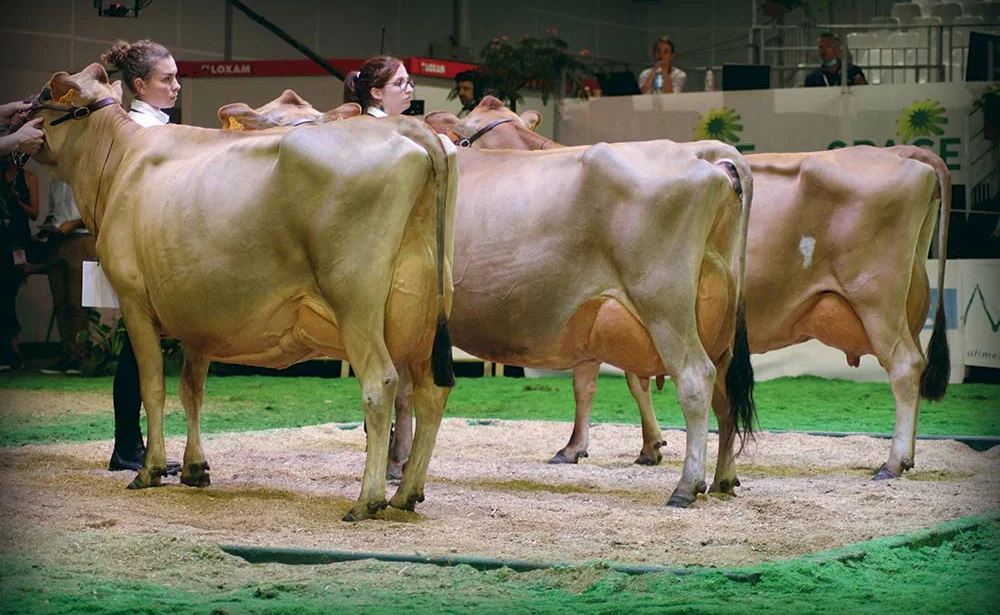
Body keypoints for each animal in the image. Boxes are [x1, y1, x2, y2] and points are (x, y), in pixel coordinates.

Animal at [27, 65, 458, 524]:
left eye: (45, 92)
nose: (22, 114)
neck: (121, 160)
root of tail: (408, 127)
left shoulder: (133, 300)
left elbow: (152, 387)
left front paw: (151, 470)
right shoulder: (198, 316)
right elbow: (192, 389)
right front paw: (195, 468)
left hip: (357, 302)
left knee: (381, 384)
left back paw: (367, 499)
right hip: (426, 312)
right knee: (431, 393)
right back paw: (407, 493)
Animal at [225, 90, 756, 506]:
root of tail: (707, 155)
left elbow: (404, 393)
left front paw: (396, 466)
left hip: (663, 302)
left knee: (696, 380)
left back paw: (686, 486)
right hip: (717, 314)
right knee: (727, 389)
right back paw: (723, 478)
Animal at [440, 98, 952, 496]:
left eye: (466, 133)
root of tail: (910, 155)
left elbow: (603, 380)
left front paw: (592, 447)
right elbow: (612, 379)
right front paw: (639, 445)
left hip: (871, 297)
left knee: (904, 366)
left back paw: (889, 463)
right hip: (892, 304)